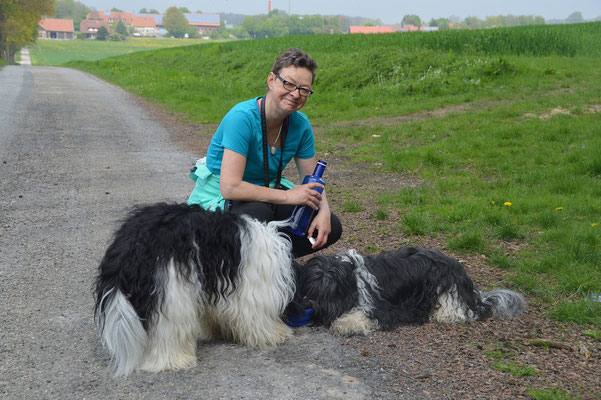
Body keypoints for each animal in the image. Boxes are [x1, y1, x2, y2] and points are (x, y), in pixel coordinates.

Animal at [93, 203, 296, 376]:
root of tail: (131, 246)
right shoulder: (253, 289)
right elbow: (257, 316)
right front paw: (275, 334)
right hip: (172, 289)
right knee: (169, 330)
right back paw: (174, 361)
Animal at [288, 247, 528, 334]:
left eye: (325, 292)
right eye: (309, 288)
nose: (309, 304)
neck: (352, 279)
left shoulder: (381, 309)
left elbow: (363, 316)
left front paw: (344, 323)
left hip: (445, 292)